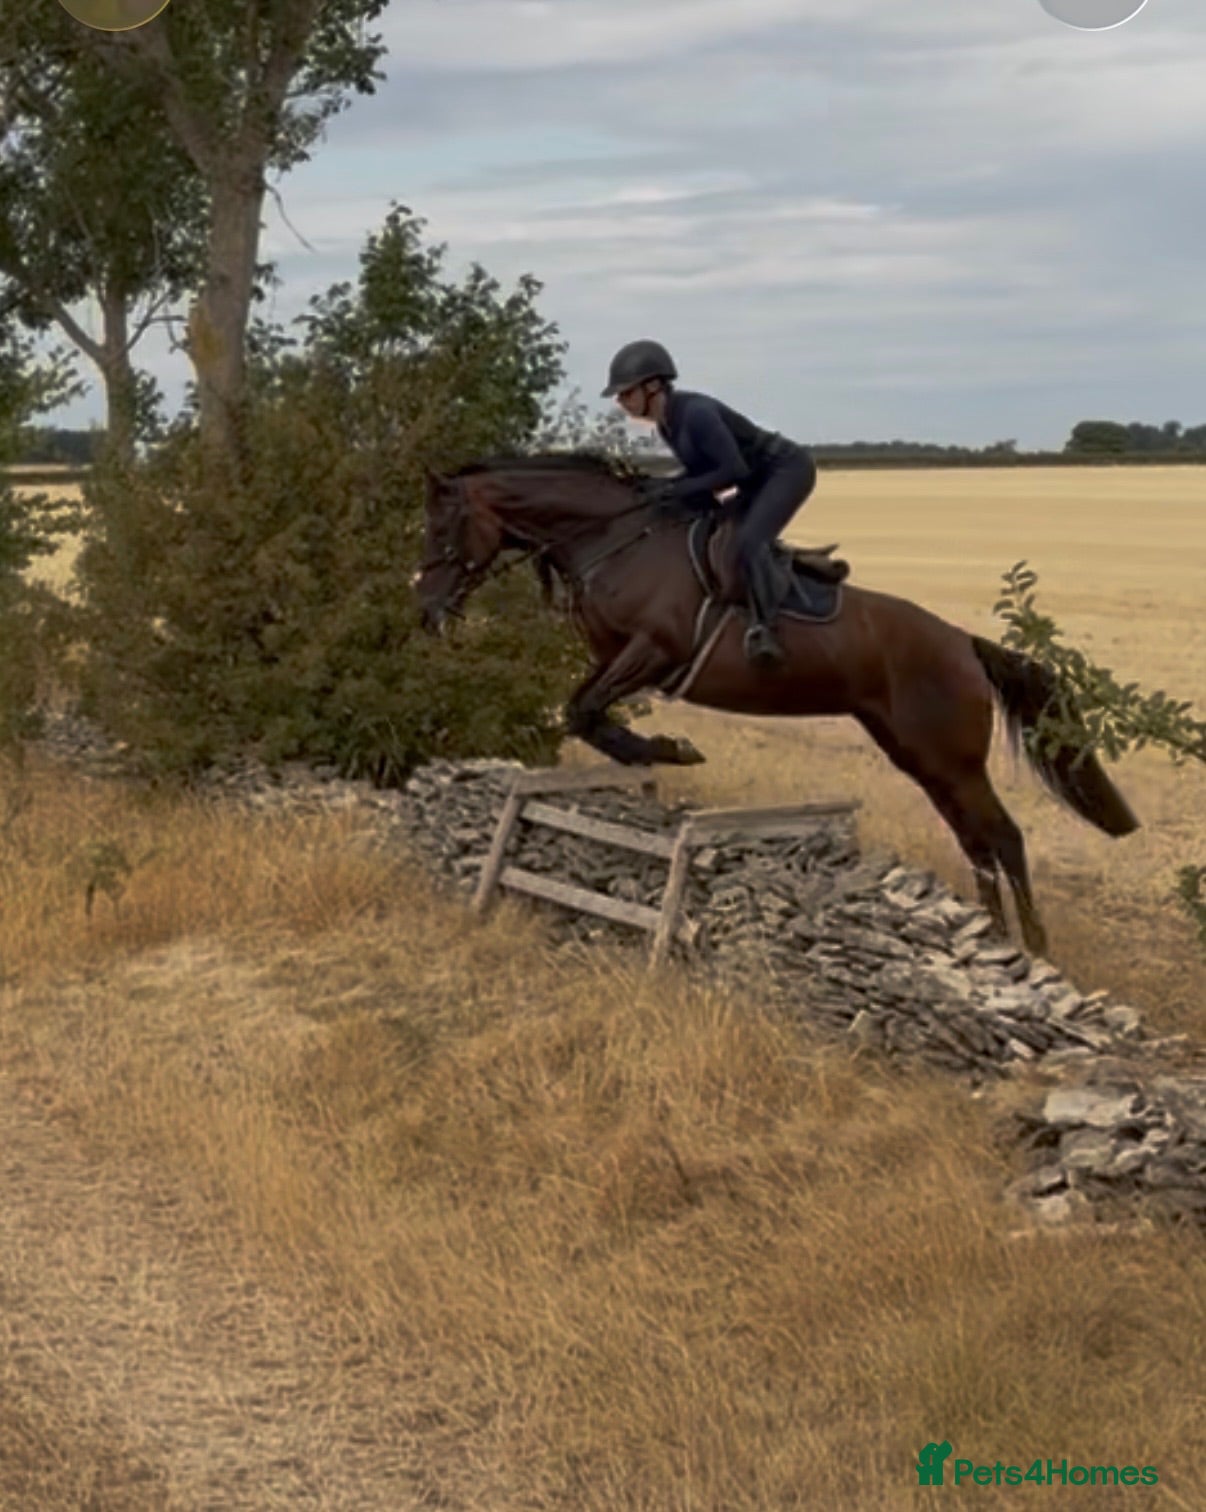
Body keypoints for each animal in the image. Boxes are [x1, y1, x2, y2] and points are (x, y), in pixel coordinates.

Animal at [411, 452, 1139, 956]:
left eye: (445, 528)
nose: (426, 611)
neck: (613, 538)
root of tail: (963, 641)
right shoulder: (614, 657)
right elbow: (584, 710)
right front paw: (655, 752)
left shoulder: (653, 649)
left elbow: (583, 712)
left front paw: (670, 750)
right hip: (920, 757)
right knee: (977, 840)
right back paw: (997, 938)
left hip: (949, 757)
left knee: (1004, 837)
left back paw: (1034, 946)